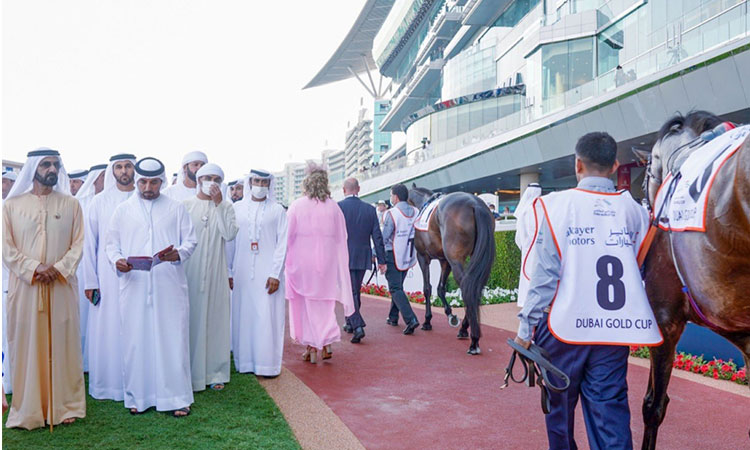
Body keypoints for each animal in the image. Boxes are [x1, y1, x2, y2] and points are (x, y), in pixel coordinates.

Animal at [408, 185, 496, 354]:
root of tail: (475, 204)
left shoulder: (423, 257)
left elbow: (427, 288)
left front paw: (427, 321)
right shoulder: (444, 261)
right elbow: (441, 288)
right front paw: (450, 315)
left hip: (456, 260)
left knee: (467, 289)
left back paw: (473, 340)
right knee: (473, 288)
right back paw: (464, 329)